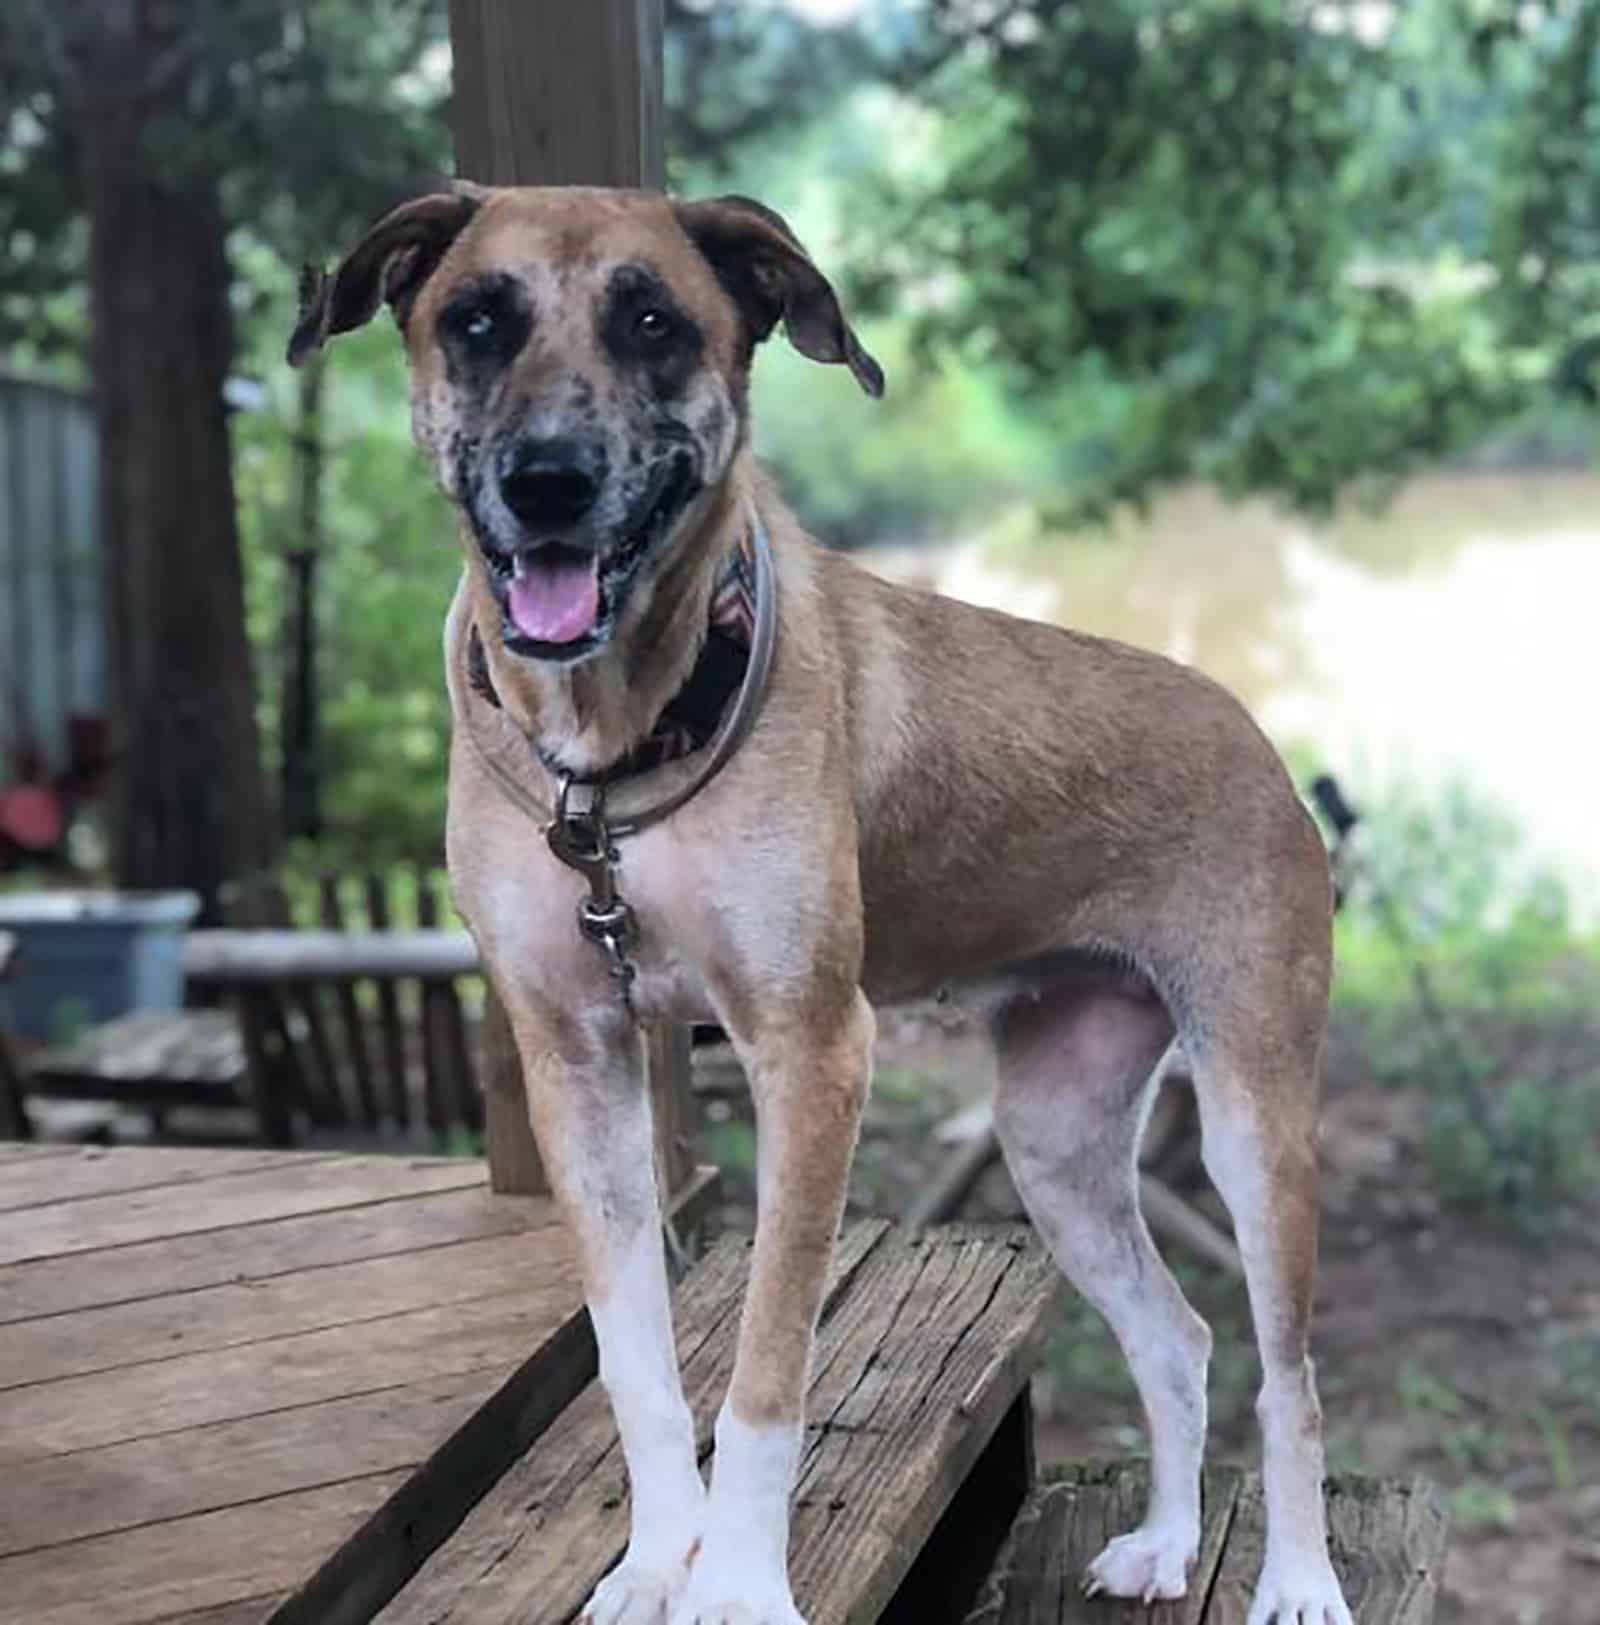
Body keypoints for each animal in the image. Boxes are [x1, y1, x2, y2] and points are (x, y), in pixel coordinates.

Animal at [290, 184, 1351, 1625]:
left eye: (654, 321)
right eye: (475, 319)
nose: (547, 483)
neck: (616, 763)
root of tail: (1251, 731)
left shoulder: (809, 1052)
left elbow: (764, 1379)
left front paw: (736, 1584)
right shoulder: (577, 1063)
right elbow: (636, 1363)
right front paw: (654, 1562)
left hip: (1251, 1110)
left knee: (1288, 1375)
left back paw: (1295, 1577)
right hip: (1056, 1139)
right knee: (1177, 1337)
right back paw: (1168, 1545)